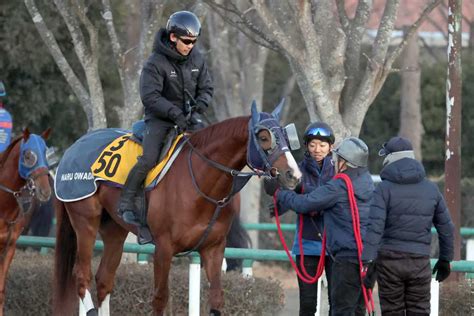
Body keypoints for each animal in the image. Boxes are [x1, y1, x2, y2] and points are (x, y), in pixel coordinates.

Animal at [54, 103, 300, 316]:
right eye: (264, 137)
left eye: (286, 136)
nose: (294, 175)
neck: (199, 181)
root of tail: (73, 148)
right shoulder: (163, 248)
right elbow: (160, 298)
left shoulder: (213, 248)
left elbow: (216, 298)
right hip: (85, 222)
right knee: (82, 276)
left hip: (114, 229)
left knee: (104, 279)